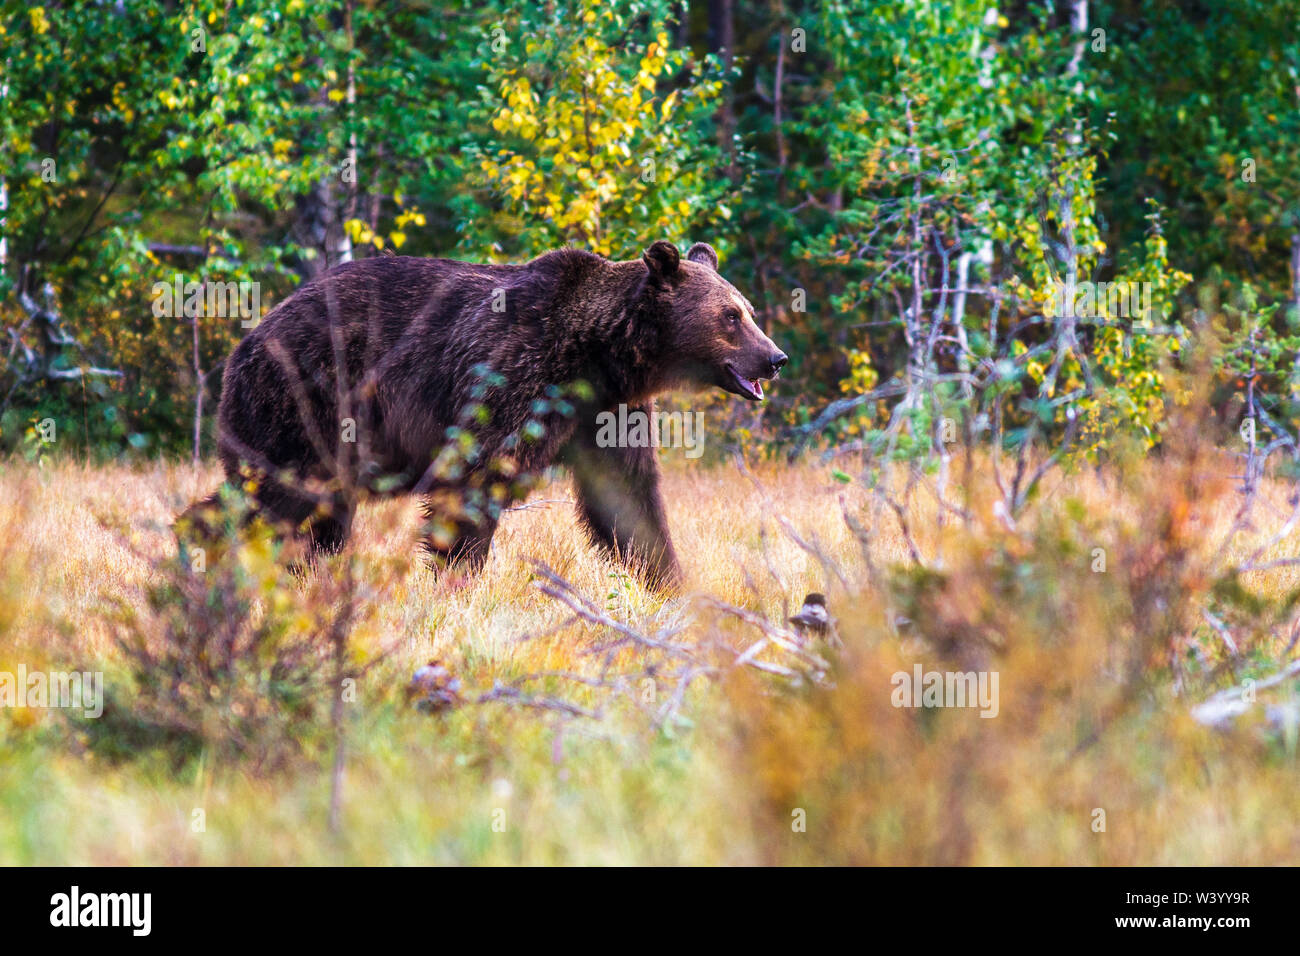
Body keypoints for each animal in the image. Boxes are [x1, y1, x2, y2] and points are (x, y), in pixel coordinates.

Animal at [187, 239, 785, 587]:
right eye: (731, 316)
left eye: (749, 310)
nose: (775, 358)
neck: (599, 355)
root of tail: (247, 340)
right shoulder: (513, 371)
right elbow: (474, 480)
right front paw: (456, 579)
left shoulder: (607, 414)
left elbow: (628, 501)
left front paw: (671, 582)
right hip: (305, 399)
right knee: (279, 494)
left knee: (314, 513)